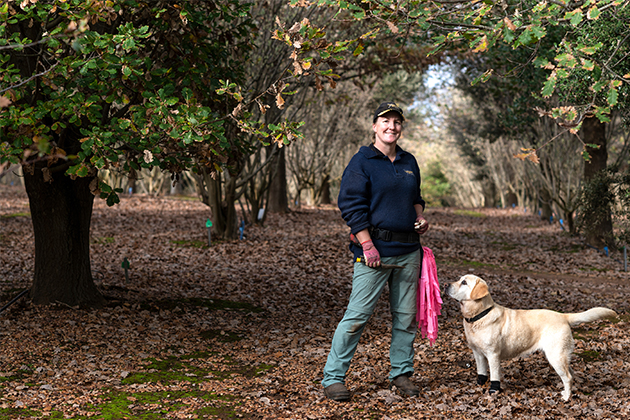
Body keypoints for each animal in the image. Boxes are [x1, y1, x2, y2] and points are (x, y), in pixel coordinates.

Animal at [450, 272, 616, 400]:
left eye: (464, 282)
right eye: (459, 279)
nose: (446, 285)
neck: (479, 316)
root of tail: (563, 316)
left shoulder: (493, 354)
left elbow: (494, 376)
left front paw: (493, 392)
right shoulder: (477, 353)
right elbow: (481, 373)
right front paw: (479, 385)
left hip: (555, 356)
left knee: (568, 377)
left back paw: (566, 398)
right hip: (561, 355)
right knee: (571, 374)